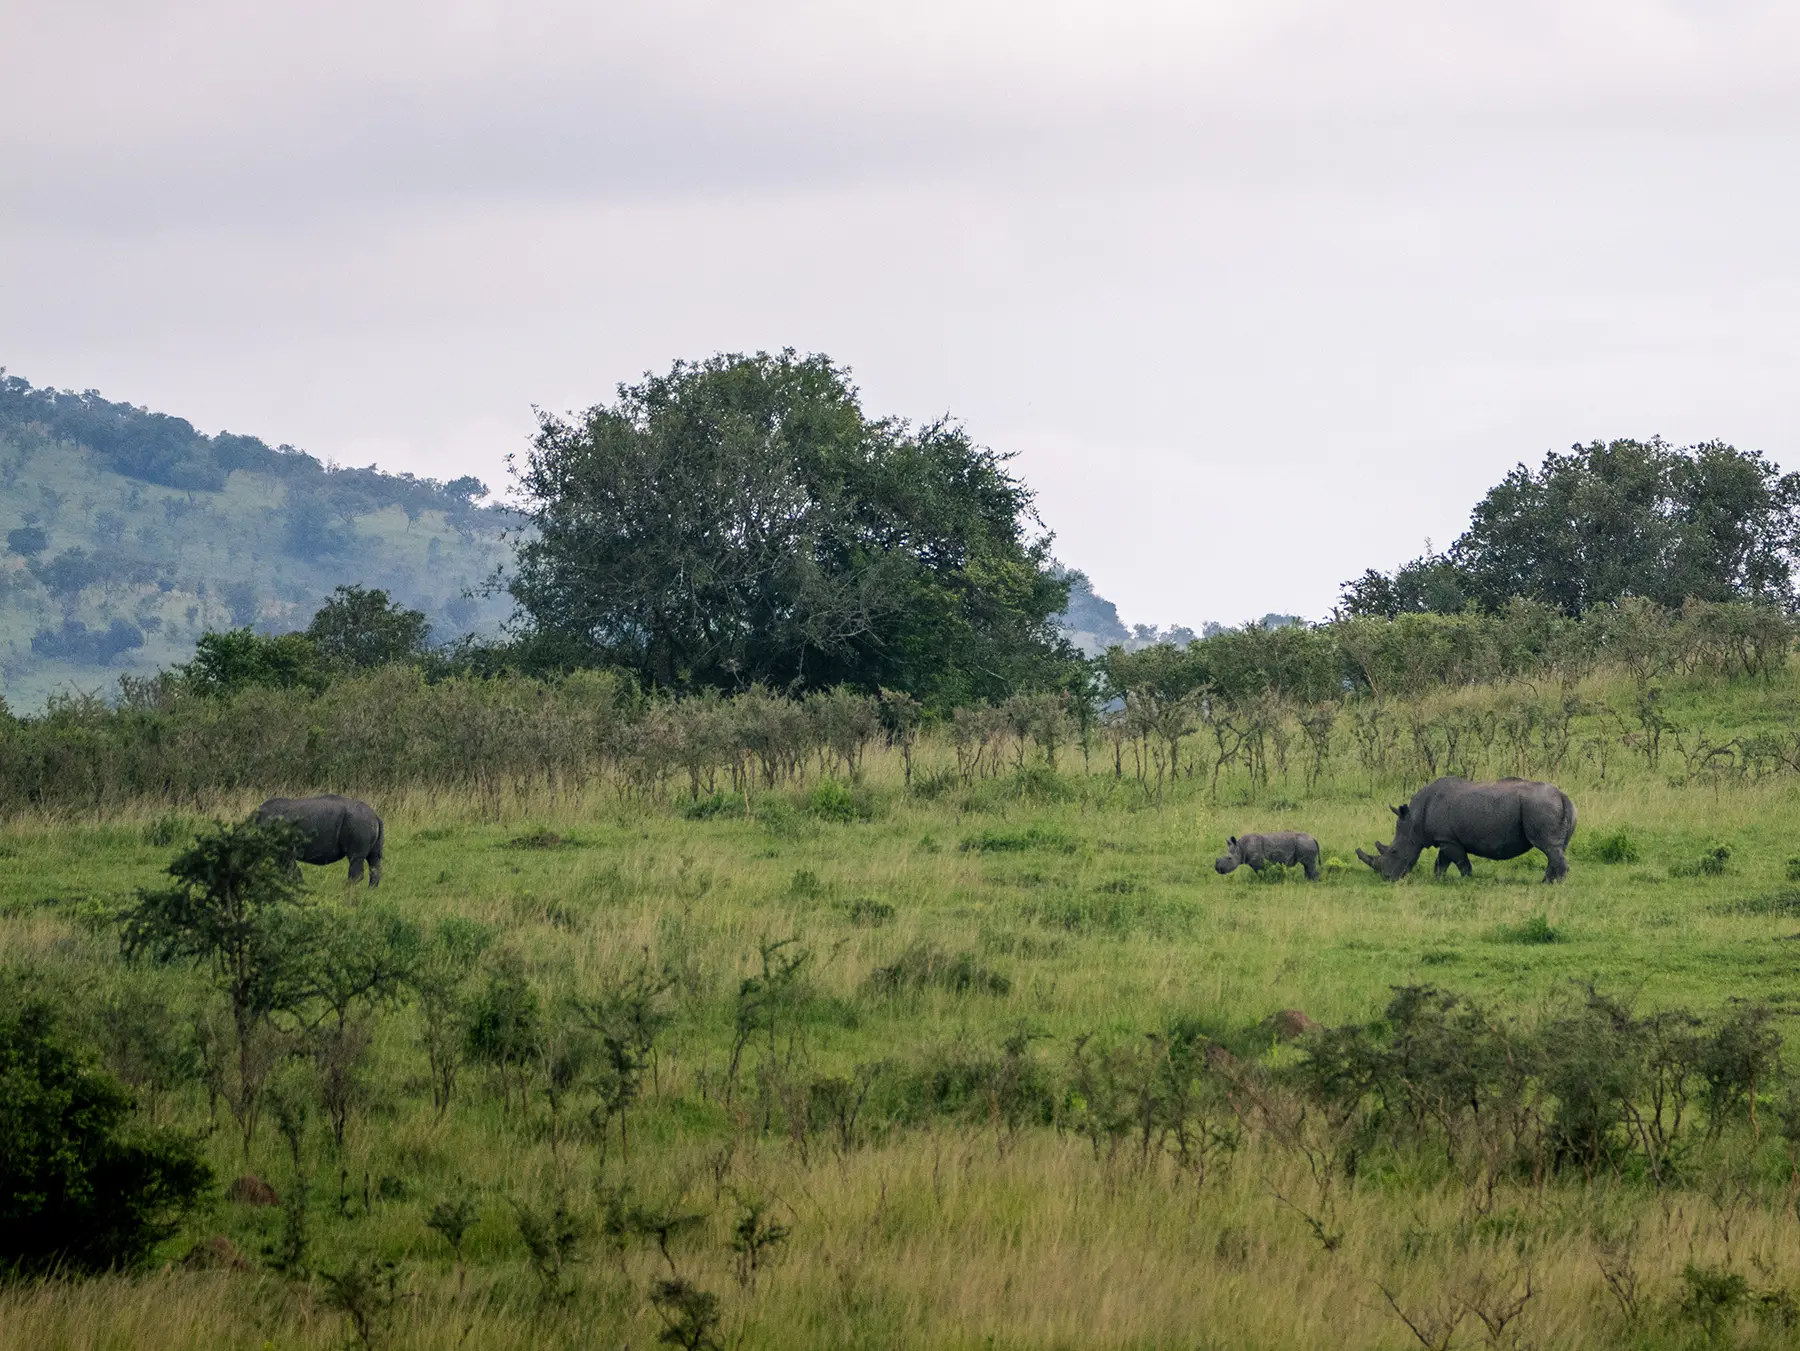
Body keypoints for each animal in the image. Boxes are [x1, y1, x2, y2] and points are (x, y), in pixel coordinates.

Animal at [254, 794, 385, 886]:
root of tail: (375, 816)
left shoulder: (283, 850)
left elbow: (291, 871)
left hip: (359, 822)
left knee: (356, 857)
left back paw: (347, 891)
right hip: (364, 822)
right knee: (374, 859)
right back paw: (370, 892)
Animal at [1356, 776, 1575, 883]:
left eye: (1394, 851)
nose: (1387, 878)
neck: (1414, 819)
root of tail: (1562, 795)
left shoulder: (1448, 840)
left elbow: (1461, 862)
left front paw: (1466, 881)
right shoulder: (1444, 838)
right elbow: (1441, 862)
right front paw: (1439, 880)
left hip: (1540, 806)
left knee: (1548, 847)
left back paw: (1555, 885)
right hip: (1548, 807)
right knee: (1555, 849)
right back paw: (1546, 882)